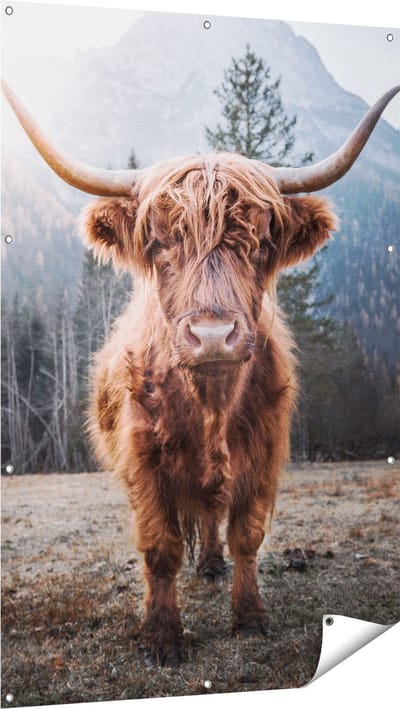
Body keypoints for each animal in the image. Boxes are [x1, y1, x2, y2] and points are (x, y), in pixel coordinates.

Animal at [3, 80, 399, 666]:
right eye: (158, 243)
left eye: (260, 243)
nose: (213, 336)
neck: (210, 401)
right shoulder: (142, 461)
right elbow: (161, 548)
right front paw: (162, 637)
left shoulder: (264, 454)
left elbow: (247, 537)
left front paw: (250, 618)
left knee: (214, 515)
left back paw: (212, 566)